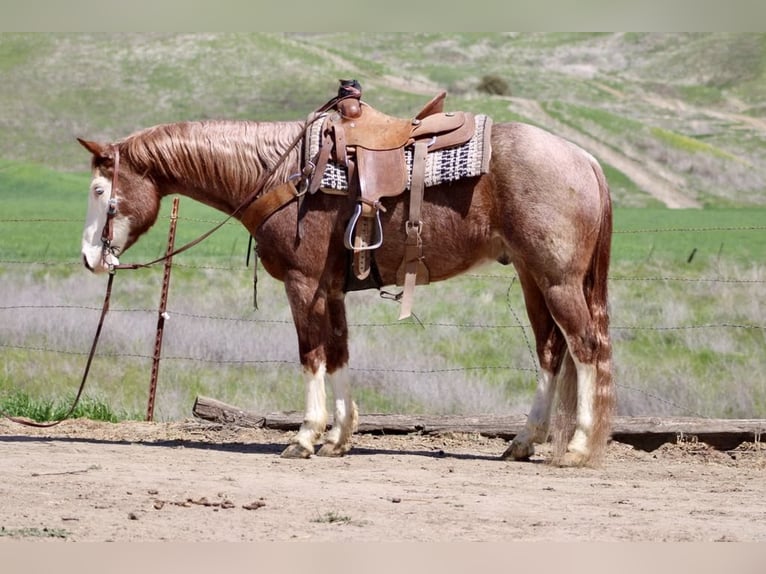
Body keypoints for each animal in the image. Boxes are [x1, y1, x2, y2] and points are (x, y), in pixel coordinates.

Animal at [77, 108, 614, 466]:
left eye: (100, 191)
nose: (89, 258)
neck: (282, 173)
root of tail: (585, 159)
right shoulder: (330, 291)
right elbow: (338, 353)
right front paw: (338, 438)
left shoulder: (303, 284)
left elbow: (311, 354)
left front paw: (305, 437)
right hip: (531, 277)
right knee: (551, 352)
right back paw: (522, 443)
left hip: (558, 280)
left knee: (585, 348)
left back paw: (578, 446)